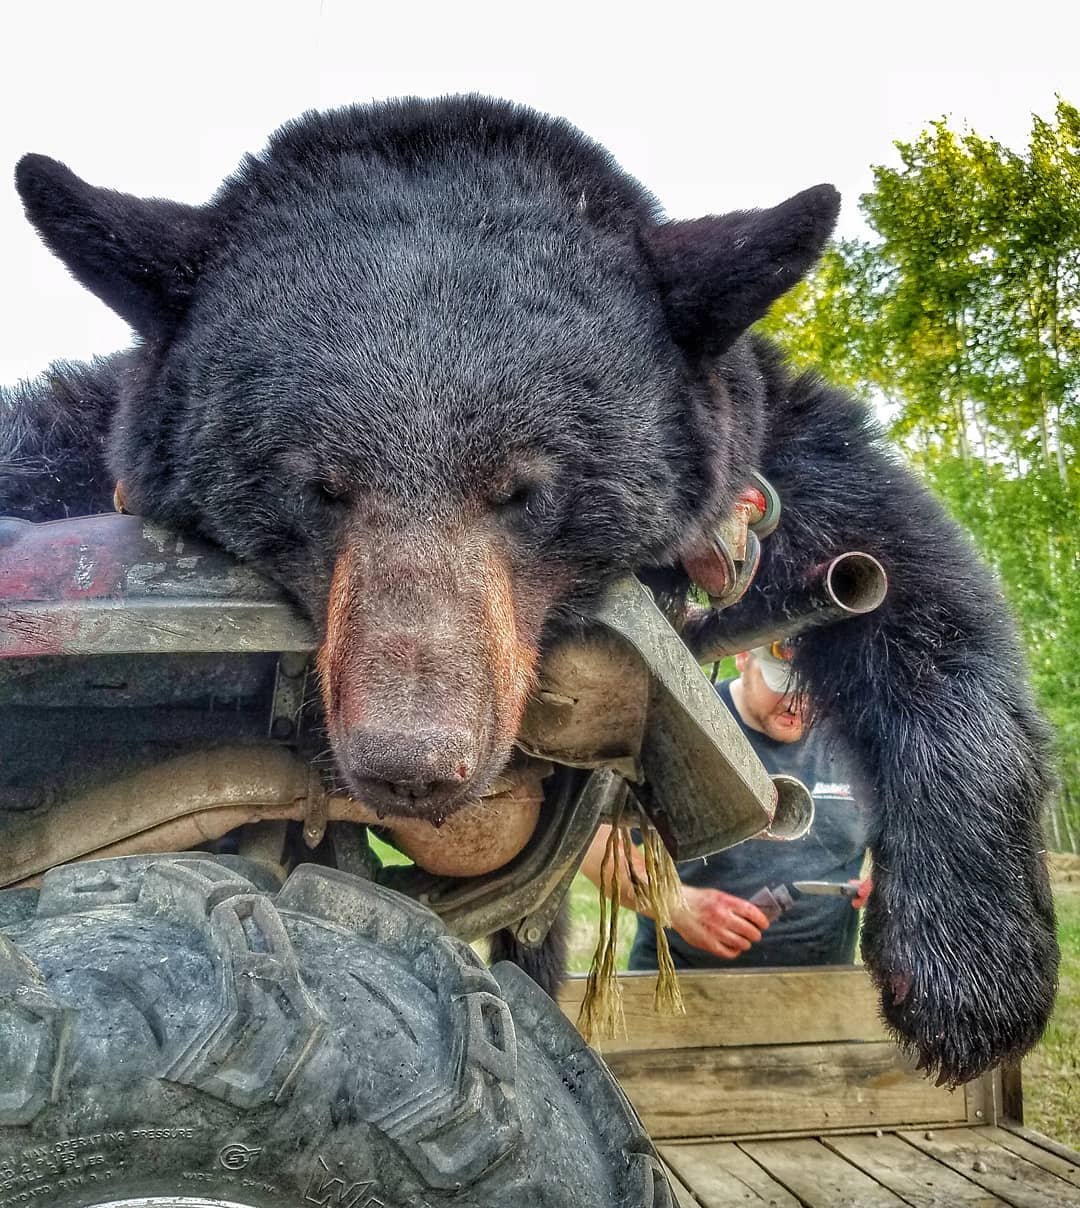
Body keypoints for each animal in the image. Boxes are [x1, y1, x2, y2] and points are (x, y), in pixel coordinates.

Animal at [1, 94, 1058, 1087]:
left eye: (523, 489)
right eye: (318, 488)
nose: (412, 762)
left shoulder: (766, 464)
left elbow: (908, 576)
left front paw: (972, 980)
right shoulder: (88, 432)